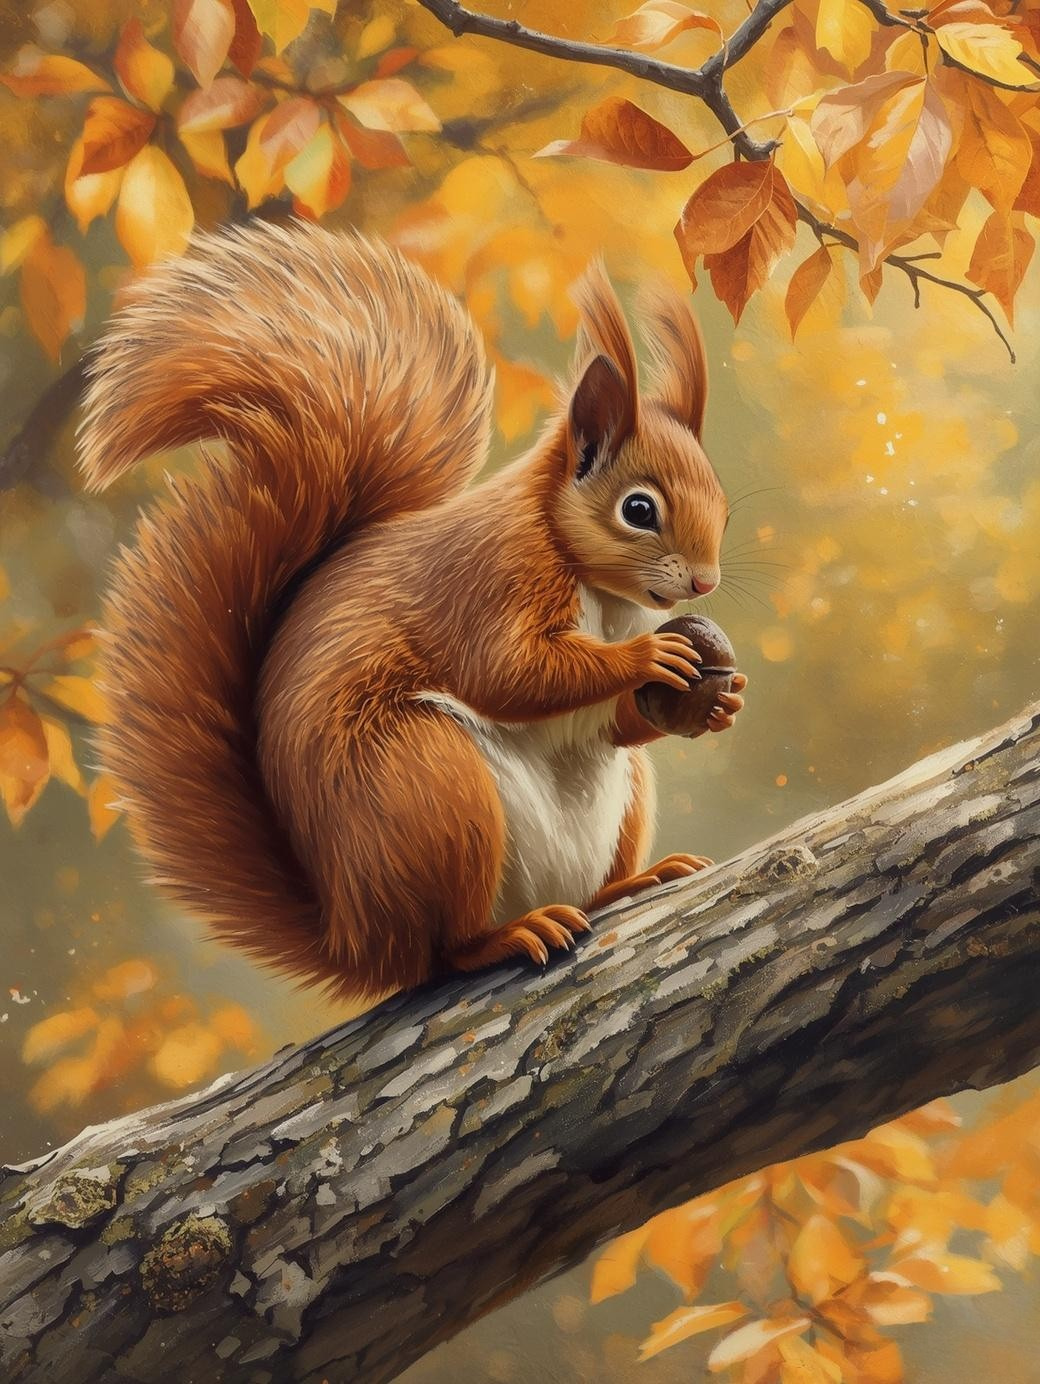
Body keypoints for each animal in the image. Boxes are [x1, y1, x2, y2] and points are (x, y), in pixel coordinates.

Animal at [77, 220, 746, 1002]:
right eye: (639, 509)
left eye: (722, 505)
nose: (703, 581)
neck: (601, 591)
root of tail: (357, 938)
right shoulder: (489, 579)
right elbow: (508, 672)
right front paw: (649, 656)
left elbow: (613, 719)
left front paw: (719, 701)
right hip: (426, 787)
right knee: (441, 952)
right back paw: (503, 938)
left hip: (603, 801)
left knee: (588, 873)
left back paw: (633, 883)